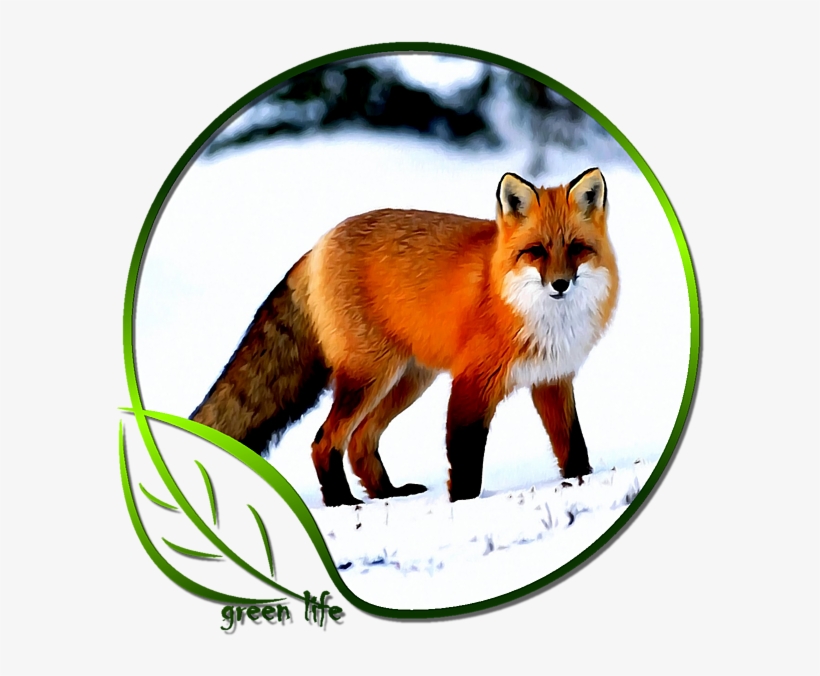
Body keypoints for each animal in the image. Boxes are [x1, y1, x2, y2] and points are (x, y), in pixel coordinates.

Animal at [191, 168, 619, 506]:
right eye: (536, 251)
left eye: (576, 249)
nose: (560, 284)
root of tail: (319, 244)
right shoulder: (473, 382)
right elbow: (465, 457)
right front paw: (464, 505)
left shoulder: (552, 379)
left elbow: (573, 444)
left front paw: (582, 481)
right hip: (370, 377)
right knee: (325, 441)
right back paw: (343, 502)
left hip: (408, 380)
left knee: (360, 442)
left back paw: (387, 494)